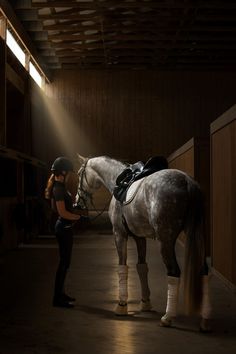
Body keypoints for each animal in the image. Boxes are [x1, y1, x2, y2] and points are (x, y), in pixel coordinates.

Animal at [76, 155, 211, 332]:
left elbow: (122, 268)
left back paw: (167, 317)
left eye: (79, 174)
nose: (77, 203)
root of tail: (188, 182)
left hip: (165, 240)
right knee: (203, 270)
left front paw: (122, 305)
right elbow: (142, 267)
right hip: (197, 235)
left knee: (173, 272)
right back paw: (204, 320)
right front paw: (145, 303)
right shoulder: (140, 237)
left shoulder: (119, 234)